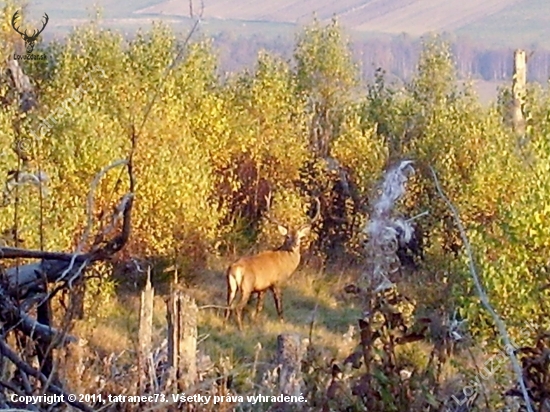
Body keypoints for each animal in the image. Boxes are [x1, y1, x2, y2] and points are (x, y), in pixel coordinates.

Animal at [224, 194, 322, 332]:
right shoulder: (276, 282)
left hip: (231, 287)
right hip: (246, 286)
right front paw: (282, 322)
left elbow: (259, 307)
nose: (295, 244)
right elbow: (279, 305)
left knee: (227, 306)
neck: (285, 262)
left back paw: (224, 325)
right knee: (237, 307)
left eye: (299, 237)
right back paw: (241, 329)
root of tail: (234, 269)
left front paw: (255, 322)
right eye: (287, 237)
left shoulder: (262, 287)